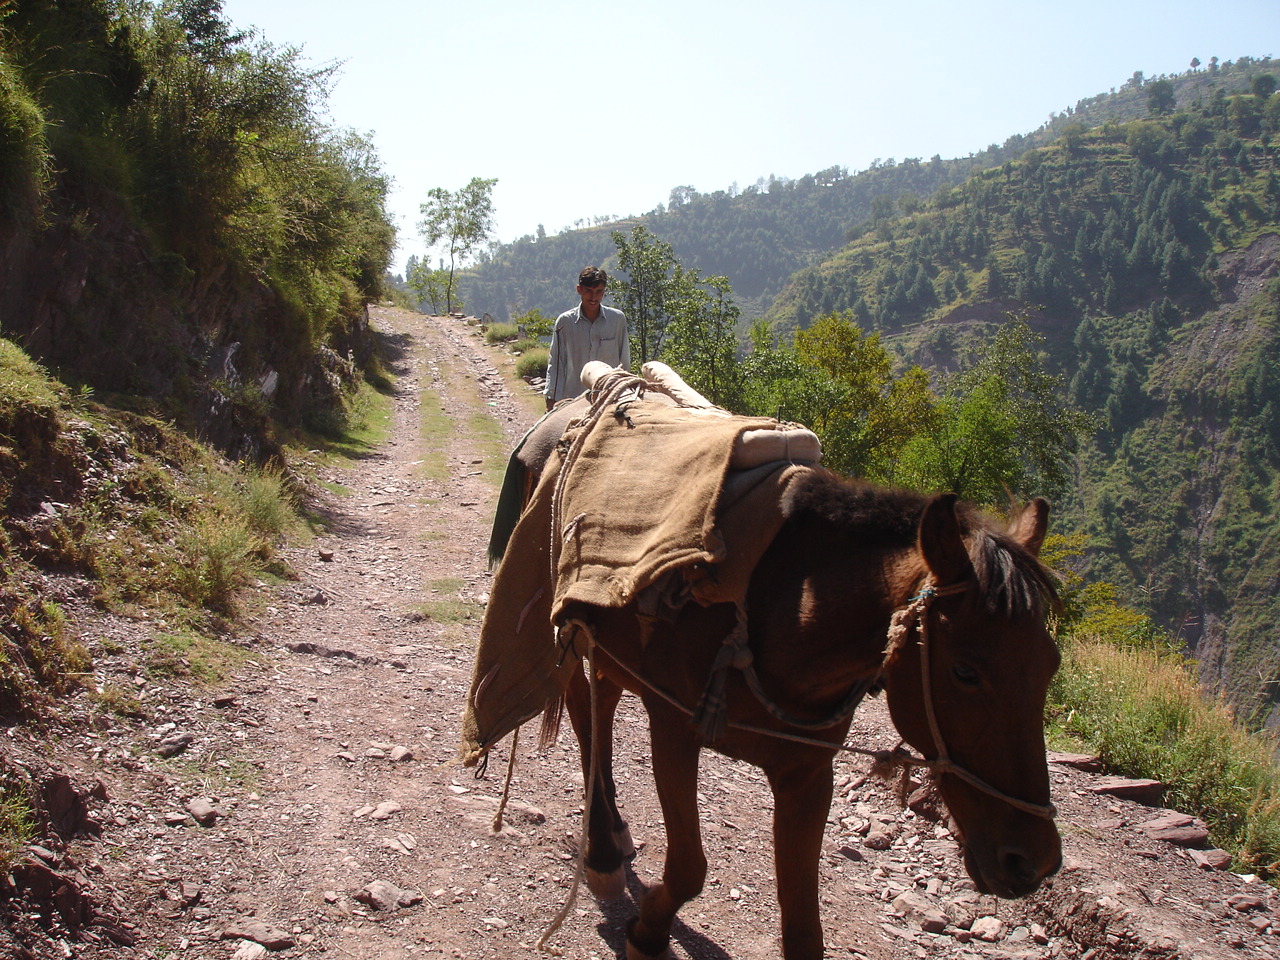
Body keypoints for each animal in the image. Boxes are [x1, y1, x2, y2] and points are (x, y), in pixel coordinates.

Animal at [481, 386, 1059, 960]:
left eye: (1050, 665)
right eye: (965, 671)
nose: (1033, 862)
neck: (781, 610)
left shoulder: (807, 773)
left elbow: (804, 930)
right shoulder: (673, 731)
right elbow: (689, 868)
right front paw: (648, 932)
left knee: (600, 703)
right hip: (569, 621)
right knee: (582, 707)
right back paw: (601, 849)